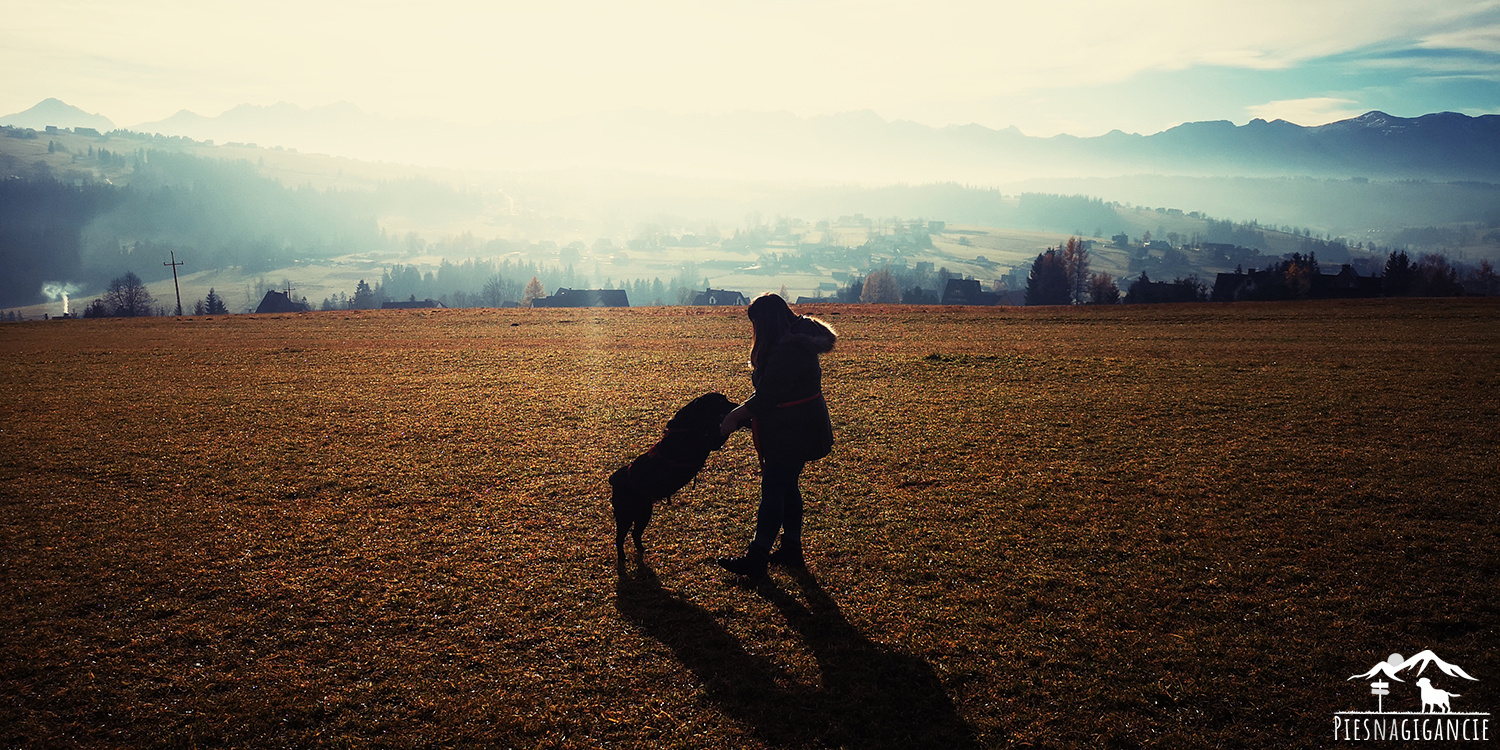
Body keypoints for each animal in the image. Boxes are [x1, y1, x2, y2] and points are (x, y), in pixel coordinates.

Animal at [609, 393, 738, 558]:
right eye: (721, 401)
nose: (736, 405)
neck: (689, 423)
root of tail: (615, 480)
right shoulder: (710, 441)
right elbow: (721, 432)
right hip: (625, 516)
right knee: (620, 538)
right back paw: (622, 557)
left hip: (643, 513)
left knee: (635, 534)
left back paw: (642, 550)